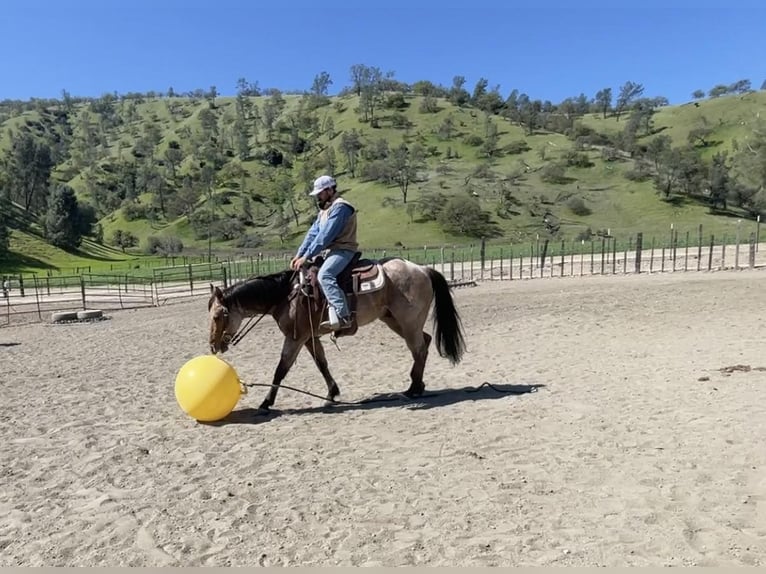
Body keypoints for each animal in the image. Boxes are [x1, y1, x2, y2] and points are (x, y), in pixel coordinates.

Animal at [206, 258, 468, 414]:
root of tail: (422, 269)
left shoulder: (295, 338)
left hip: (408, 321)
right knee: (424, 342)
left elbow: (281, 369)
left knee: (419, 349)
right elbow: (322, 364)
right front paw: (332, 394)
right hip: (395, 320)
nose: (213, 347)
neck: (286, 295)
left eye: (218, 315)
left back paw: (413, 389)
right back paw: (416, 386)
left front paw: (266, 403)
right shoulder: (309, 338)